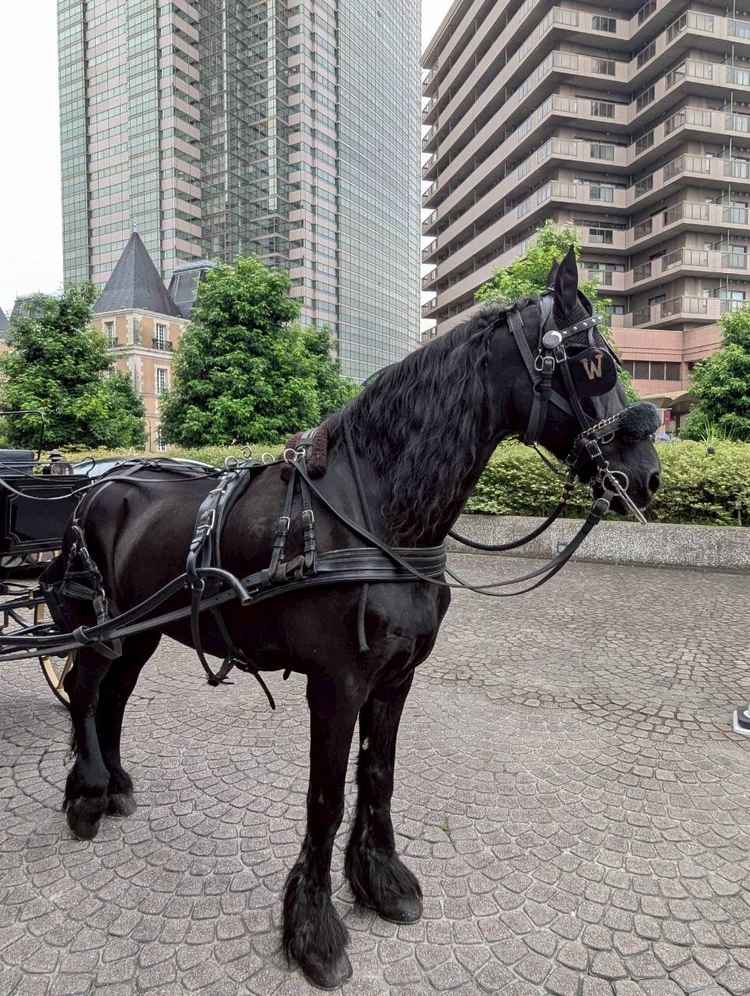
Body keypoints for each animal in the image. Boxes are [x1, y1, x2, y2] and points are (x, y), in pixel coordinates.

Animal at [53, 249, 660, 990]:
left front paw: (380, 881)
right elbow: (326, 797)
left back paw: (113, 785)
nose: (648, 474)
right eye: (594, 363)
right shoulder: (337, 683)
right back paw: (85, 796)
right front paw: (312, 930)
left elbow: (378, 776)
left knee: (113, 697)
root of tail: (99, 481)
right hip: (104, 628)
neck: (374, 514)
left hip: (139, 632)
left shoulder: (395, 680)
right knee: (86, 691)